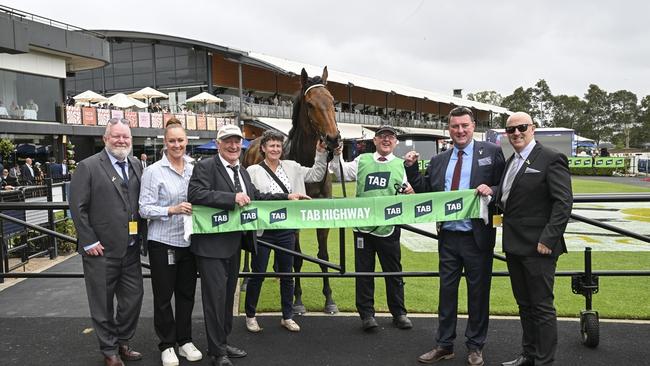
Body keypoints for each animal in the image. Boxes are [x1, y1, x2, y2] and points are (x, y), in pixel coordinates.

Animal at [243, 66, 342, 312]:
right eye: (310, 104)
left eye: (332, 100)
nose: (333, 139)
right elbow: (297, 257)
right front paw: (297, 300)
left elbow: (323, 255)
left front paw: (329, 300)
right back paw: (247, 277)